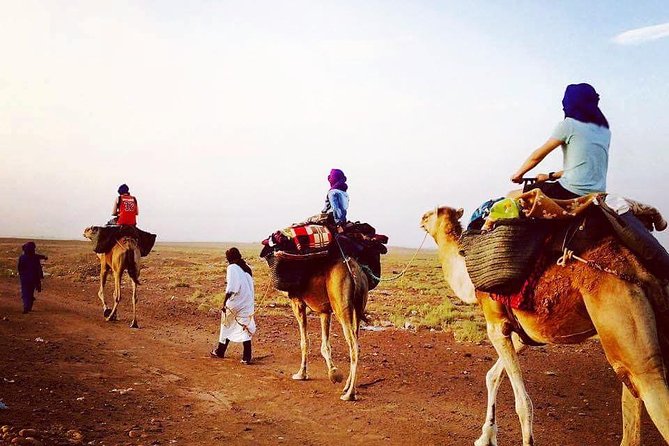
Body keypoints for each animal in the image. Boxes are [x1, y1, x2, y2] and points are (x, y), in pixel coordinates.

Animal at [282, 254, 368, 400]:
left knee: (354, 347)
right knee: (356, 339)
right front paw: (333, 372)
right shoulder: (324, 311)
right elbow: (325, 345)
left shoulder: (297, 302)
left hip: (341, 307)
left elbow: (304, 341)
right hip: (358, 307)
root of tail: (353, 270)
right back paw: (346, 387)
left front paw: (301, 374)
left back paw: (350, 394)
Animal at [422, 207, 668, 446]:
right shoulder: (523, 334)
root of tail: (640, 271)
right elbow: (493, 376)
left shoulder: (496, 324)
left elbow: (523, 403)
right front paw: (485, 437)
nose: (421, 218)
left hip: (621, 318)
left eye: (432, 213)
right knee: (632, 402)